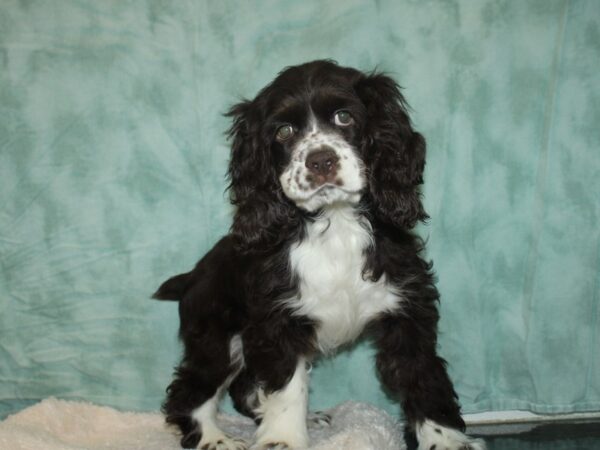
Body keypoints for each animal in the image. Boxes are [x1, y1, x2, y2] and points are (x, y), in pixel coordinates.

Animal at [152, 60, 486, 450]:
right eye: (283, 131)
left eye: (344, 116)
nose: (321, 160)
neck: (335, 222)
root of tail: (193, 274)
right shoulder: (277, 320)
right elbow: (285, 386)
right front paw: (281, 440)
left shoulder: (408, 310)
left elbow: (422, 377)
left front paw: (443, 440)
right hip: (217, 338)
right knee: (191, 390)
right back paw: (214, 439)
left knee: (244, 387)